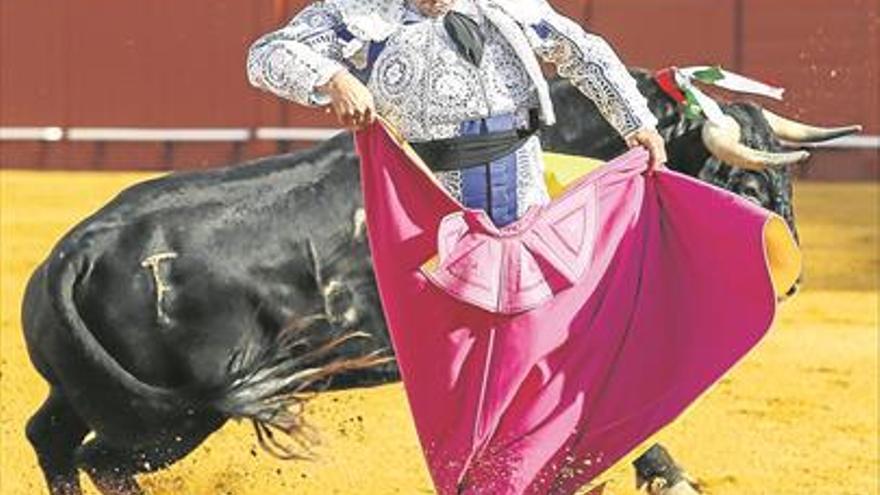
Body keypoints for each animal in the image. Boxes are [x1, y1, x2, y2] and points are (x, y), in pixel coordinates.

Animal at [20, 70, 860, 495]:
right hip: (175, 417)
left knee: (53, 440)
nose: (790, 280)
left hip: (100, 395)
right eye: (740, 181)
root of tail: (75, 253)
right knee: (102, 460)